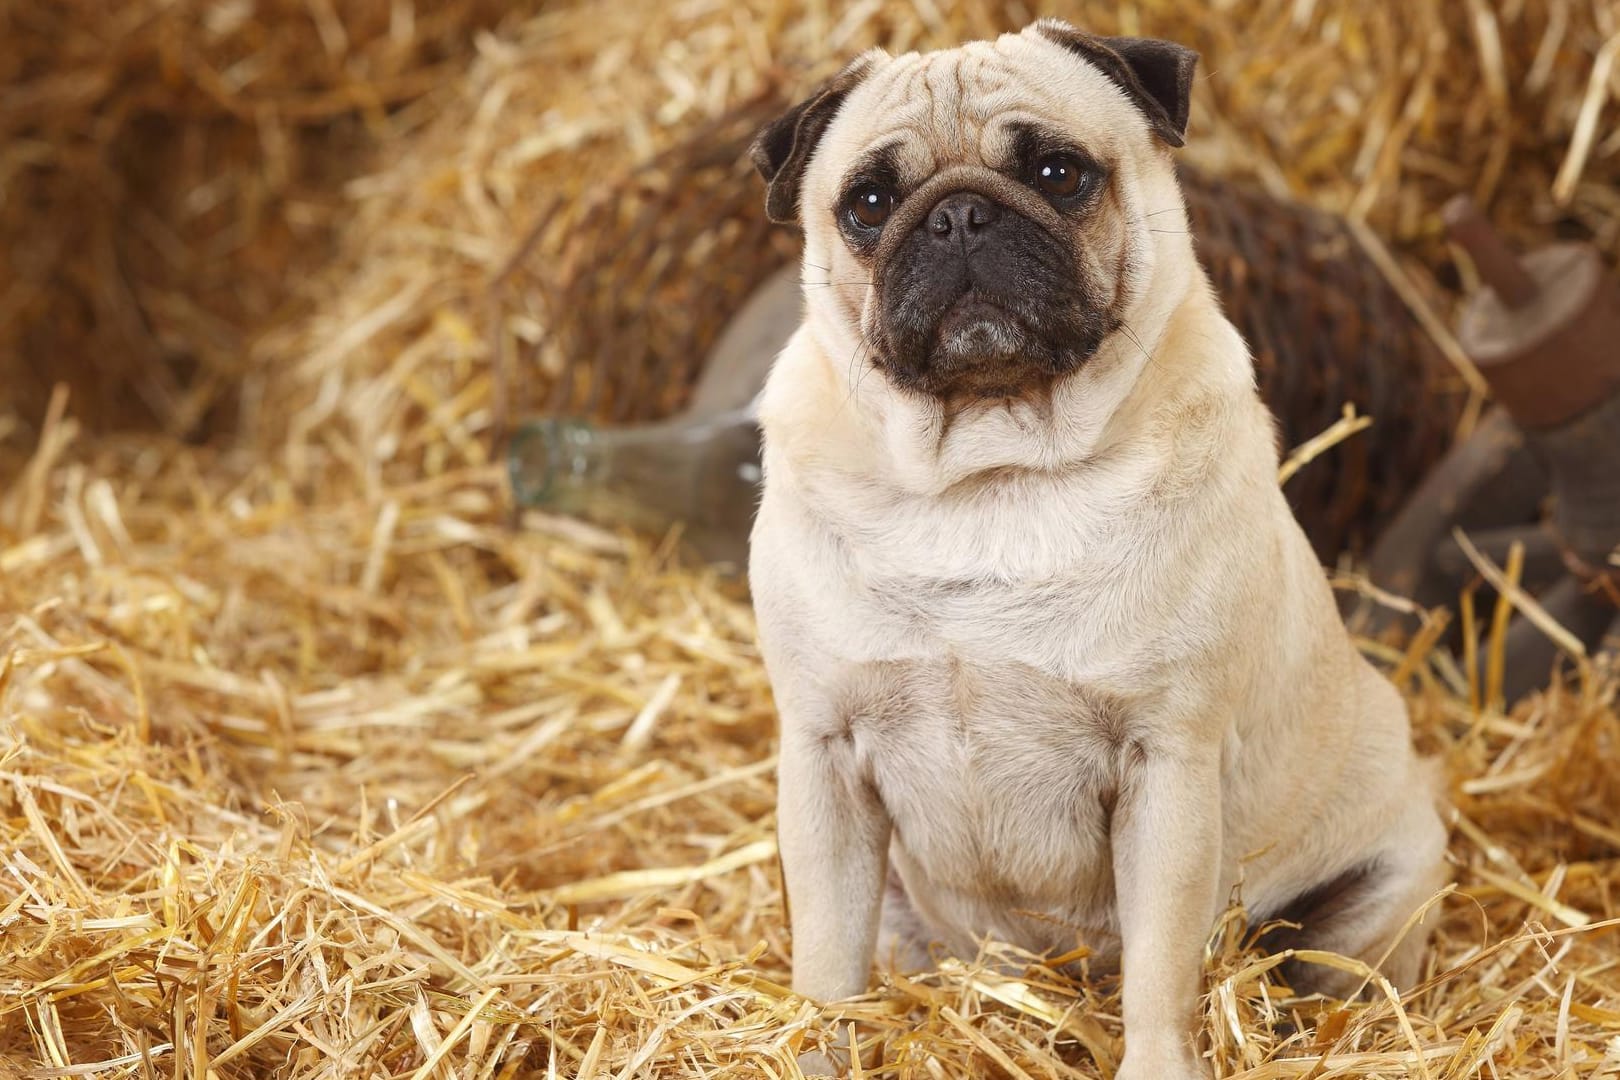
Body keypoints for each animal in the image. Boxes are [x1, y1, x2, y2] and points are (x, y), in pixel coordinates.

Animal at [748, 19, 1458, 1080]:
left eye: (1059, 172)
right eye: (868, 204)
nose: (958, 215)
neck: (988, 476)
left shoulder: (1166, 765)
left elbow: (1160, 970)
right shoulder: (823, 756)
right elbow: (827, 959)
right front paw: (817, 1049)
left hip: (1388, 876)